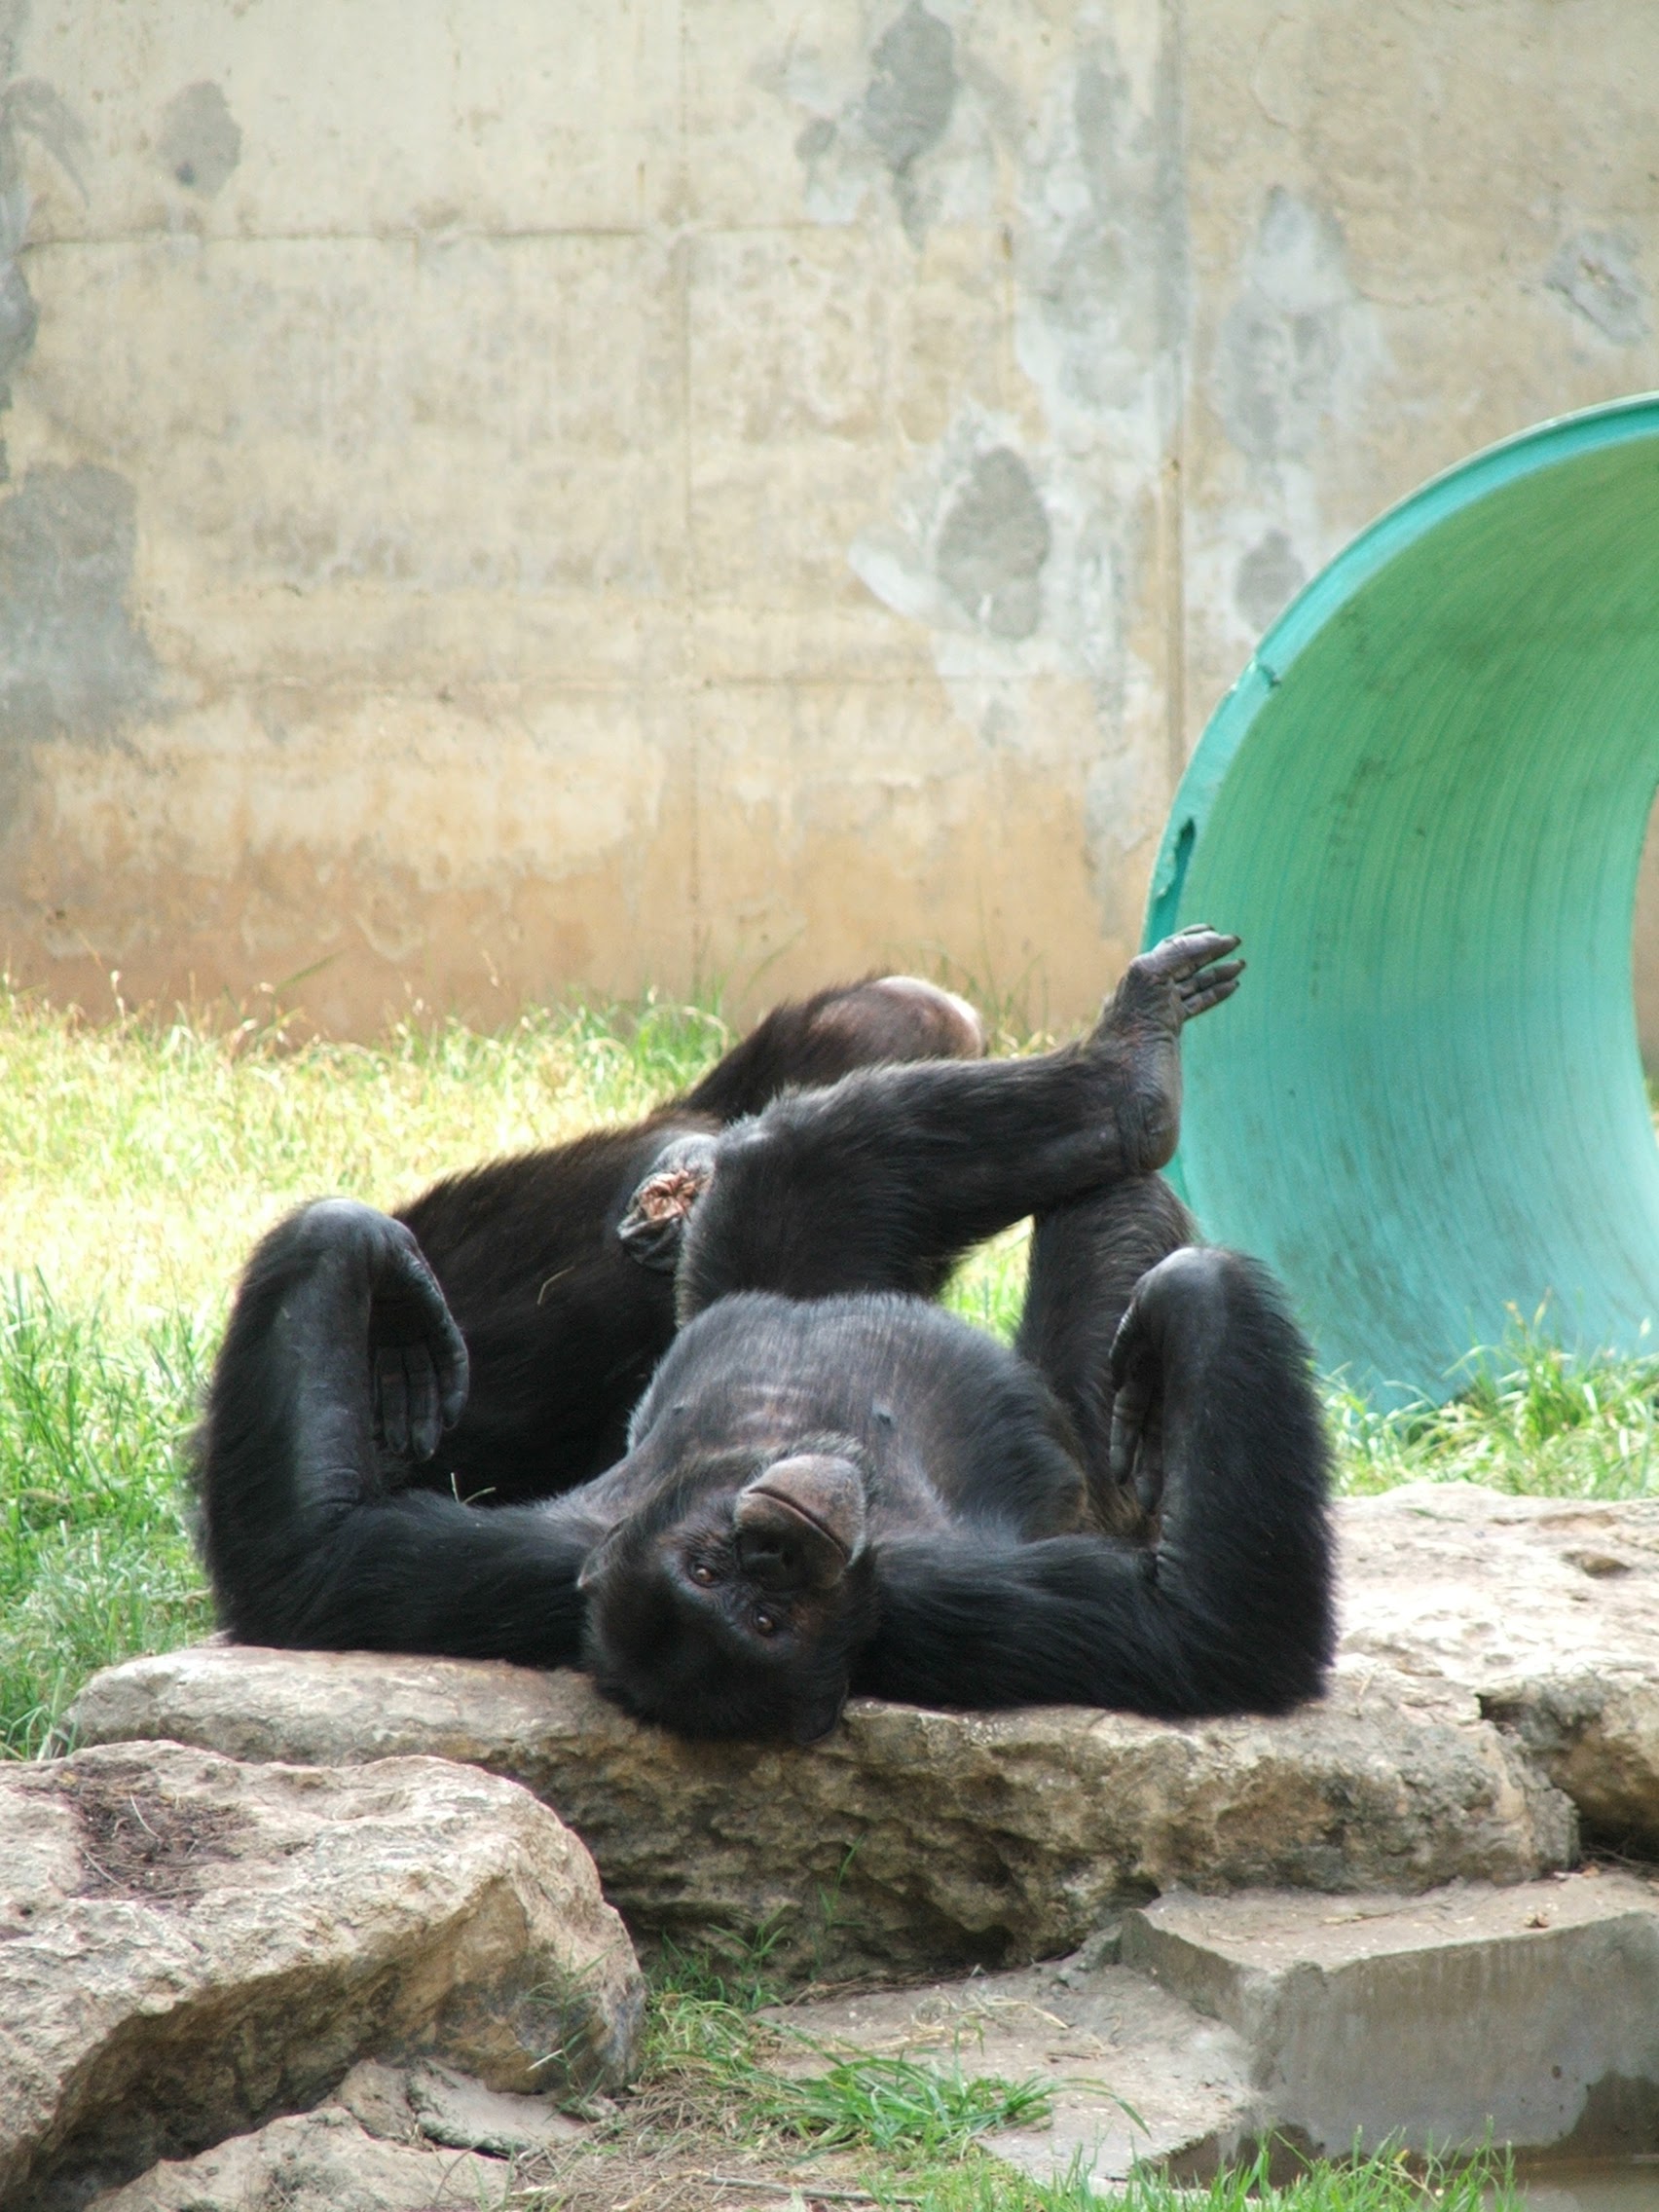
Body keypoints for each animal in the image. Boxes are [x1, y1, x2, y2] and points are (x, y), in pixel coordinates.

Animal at [198, 924, 1336, 1734]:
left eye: (728, 1576)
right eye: (745, 1608)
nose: (777, 1549)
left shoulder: (467, 1571)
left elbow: (311, 1552)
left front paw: (379, 1282)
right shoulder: (956, 1606)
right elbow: (1214, 1633)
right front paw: (1195, 1301)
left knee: (854, 1119)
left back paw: (1124, 1066)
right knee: (843, 1157)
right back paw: (1129, 1106)